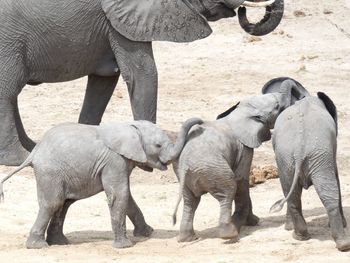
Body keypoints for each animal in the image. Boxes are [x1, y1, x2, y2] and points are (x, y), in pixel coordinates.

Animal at [0, 0, 284, 165]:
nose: (244, 12)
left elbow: (104, 81)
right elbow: (143, 73)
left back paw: (32, 147)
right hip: (9, 40)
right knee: (7, 92)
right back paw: (20, 157)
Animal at [0, 118, 202, 251]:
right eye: (158, 145)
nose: (199, 124)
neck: (130, 126)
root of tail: (33, 153)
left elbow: (127, 196)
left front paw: (147, 233)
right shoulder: (114, 160)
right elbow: (120, 194)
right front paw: (124, 247)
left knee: (63, 204)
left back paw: (60, 243)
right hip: (50, 173)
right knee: (53, 203)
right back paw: (38, 246)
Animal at [171, 79, 308, 243]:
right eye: (277, 106)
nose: (301, 94)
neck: (240, 115)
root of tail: (185, 165)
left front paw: (253, 221)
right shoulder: (244, 148)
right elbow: (241, 179)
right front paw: (251, 222)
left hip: (185, 177)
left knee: (190, 202)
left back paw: (187, 238)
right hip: (214, 170)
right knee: (228, 191)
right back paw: (229, 233)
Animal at [268, 92, 350, 253]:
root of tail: (300, 148)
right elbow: (336, 178)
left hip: (290, 159)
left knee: (292, 193)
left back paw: (299, 235)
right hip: (311, 156)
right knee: (324, 193)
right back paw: (342, 244)